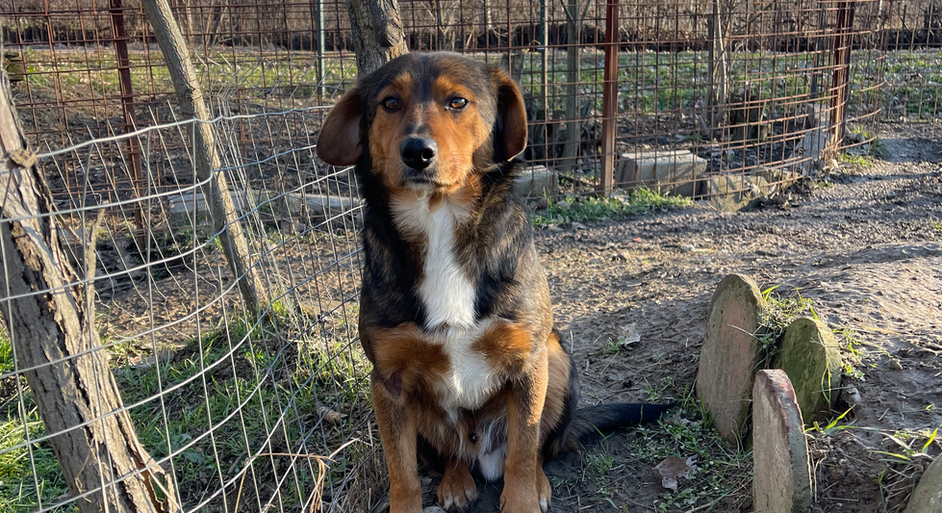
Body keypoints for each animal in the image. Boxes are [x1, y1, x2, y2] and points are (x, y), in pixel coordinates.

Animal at [316, 52, 671, 513]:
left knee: (538, 447)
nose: (417, 152)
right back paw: (456, 480)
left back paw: (537, 481)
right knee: (451, 453)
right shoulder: (388, 382)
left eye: (457, 101)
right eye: (390, 103)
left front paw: (523, 498)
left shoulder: (527, 363)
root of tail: (481, 454)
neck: (439, 221)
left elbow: (522, 449)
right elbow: (401, 472)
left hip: (556, 358)